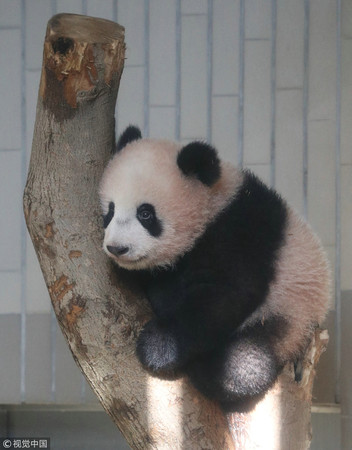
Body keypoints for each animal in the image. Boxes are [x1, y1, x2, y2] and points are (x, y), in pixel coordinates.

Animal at [99, 125, 330, 410]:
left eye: (145, 213)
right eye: (110, 210)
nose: (117, 248)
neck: (213, 204)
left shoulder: (239, 233)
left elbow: (224, 295)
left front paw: (158, 346)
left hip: (288, 311)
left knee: (246, 360)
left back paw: (208, 370)